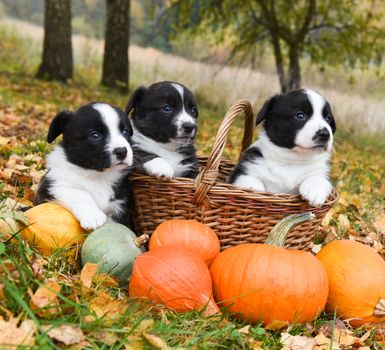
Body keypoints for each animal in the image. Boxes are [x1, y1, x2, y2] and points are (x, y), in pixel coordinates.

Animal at [35, 102, 134, 231]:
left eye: (125, 132)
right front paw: (93, 215)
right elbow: (80, 194)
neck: (98, 175)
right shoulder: (53, 184)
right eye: (95, 135)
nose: (122, 151)